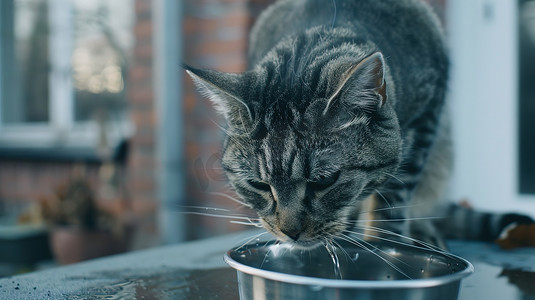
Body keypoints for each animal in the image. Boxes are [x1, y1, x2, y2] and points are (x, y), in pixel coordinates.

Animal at [186, 0, 532, 248]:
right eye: (258, 185)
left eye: (324, 181)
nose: (289, 232)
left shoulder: (428, 111)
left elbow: (392, 197)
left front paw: (380, 244)